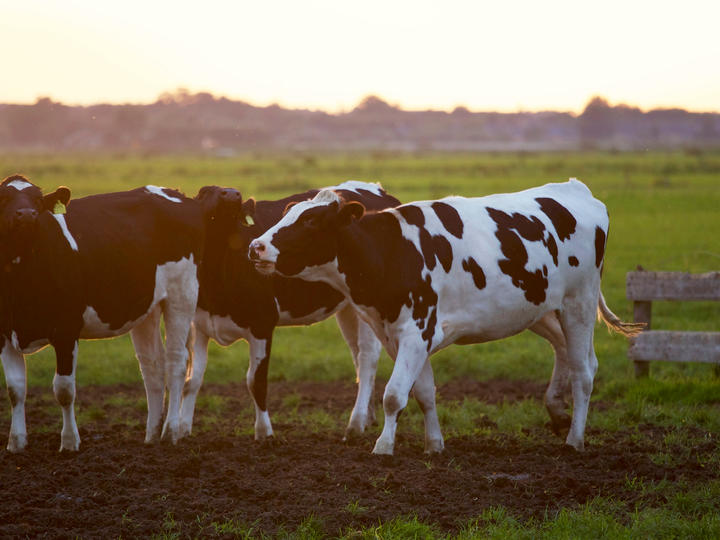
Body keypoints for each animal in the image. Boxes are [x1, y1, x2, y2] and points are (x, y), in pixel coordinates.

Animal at [0, 174, 203, 452]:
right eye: (4, 198)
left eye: (38, 200)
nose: (27, 215)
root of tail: (173, 192)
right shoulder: (4, 333)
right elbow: (15, 389)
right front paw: (16, 443)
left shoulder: (66, 330)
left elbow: (64, 389)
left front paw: (69, 442)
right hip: (146, 307)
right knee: (152, 365)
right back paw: (151, 435)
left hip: (181, 294)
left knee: (176, 362)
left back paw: (170, 432)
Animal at [178, 181, 401, 441]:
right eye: (204, 192)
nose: (232, 194)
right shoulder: (199, 324)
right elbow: (192, 380)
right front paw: (182, 430)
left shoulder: (262, 324)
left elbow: (256, 381)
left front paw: (264, 433)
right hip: (349, 308)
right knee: (356, 355)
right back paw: (368, 416)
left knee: (367, 358)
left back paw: (356, 423)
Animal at [249, 178, 644, 455]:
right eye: (286, 214)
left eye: (311, 221)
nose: (256, 246)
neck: (393, 251)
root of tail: (576, 189)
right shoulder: (401, 336)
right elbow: (423, 392)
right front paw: (434, 444)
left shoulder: (416, 331)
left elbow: (394, 395)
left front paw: (383, 446)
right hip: (541, 309)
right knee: (566, 352)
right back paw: (557, 411)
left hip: (579, 303)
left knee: (584, 371)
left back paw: (575, 439)